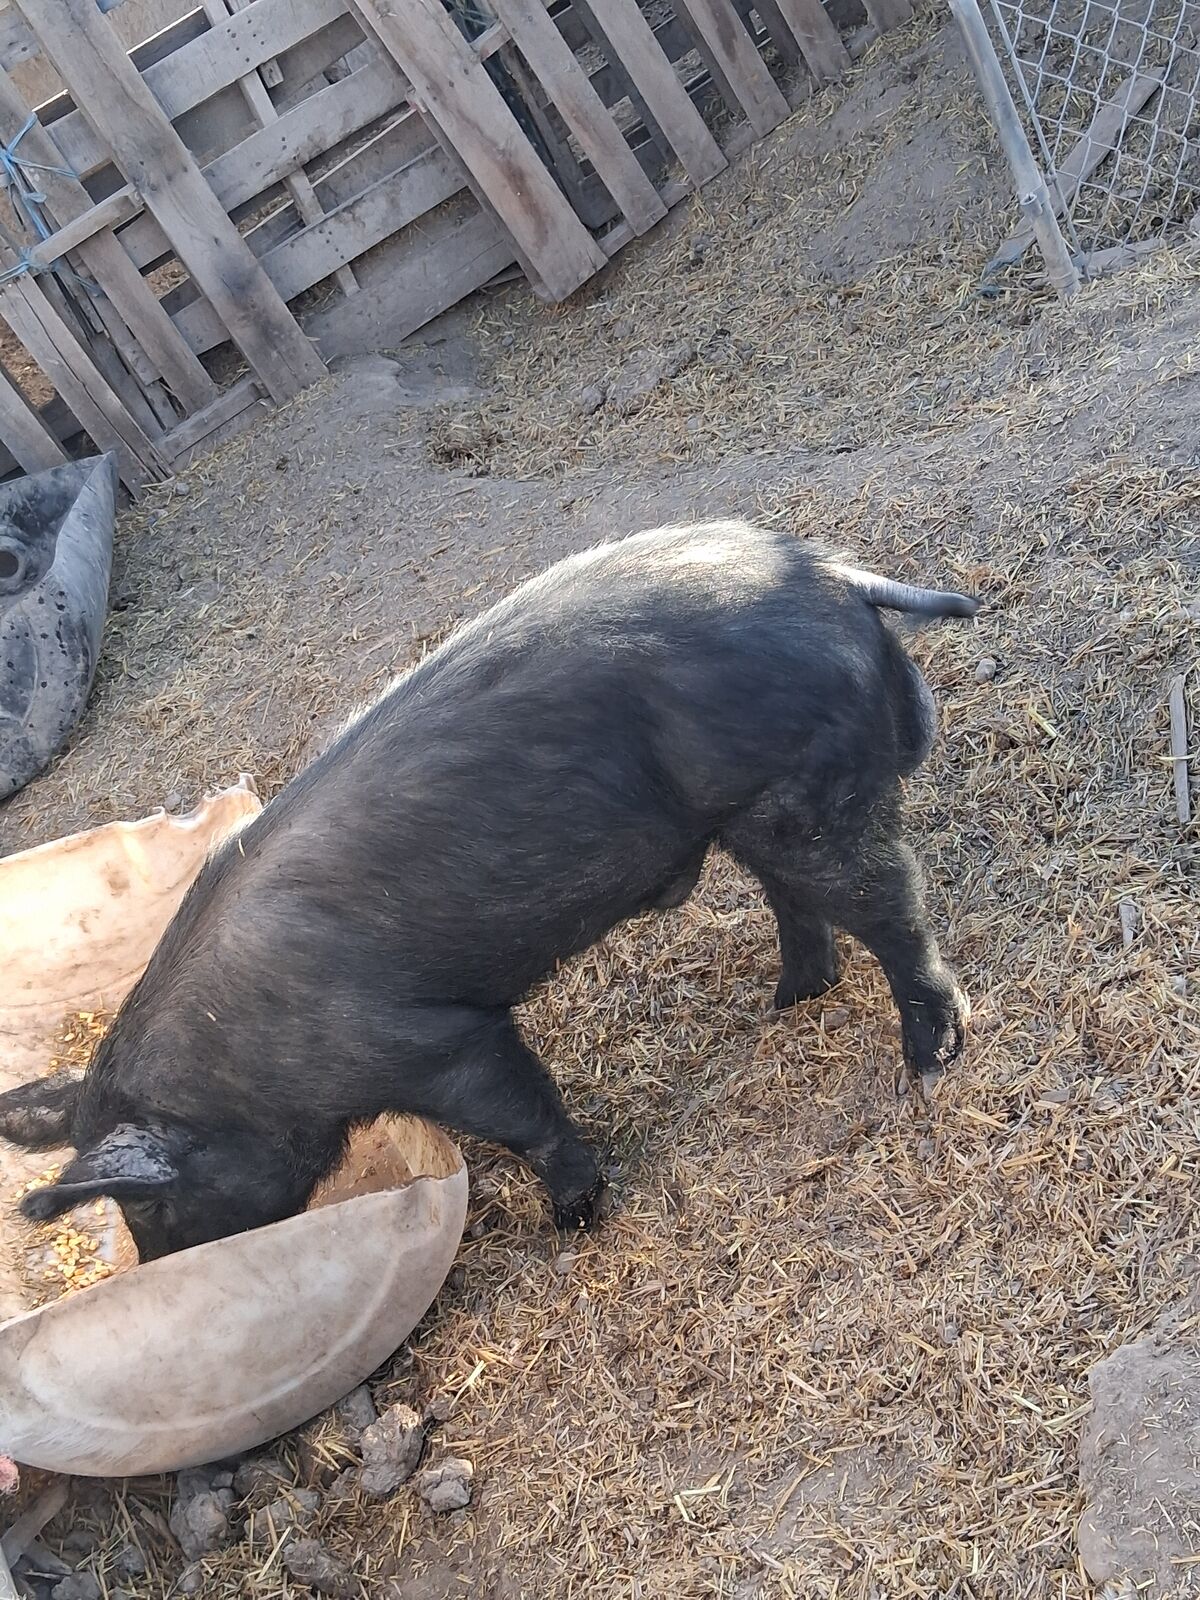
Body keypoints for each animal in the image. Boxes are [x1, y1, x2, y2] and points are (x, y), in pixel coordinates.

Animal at [0, 522, 978, 1261]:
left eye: (150, 1203)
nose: (162, 1262)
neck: (245, 1069)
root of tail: (828, 572)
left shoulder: (434, 1036)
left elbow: (521, 1109)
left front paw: (574, 1221)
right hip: (757, 809)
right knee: (798, 899)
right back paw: (784, 1002)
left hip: (812, 791)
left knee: (891, 904)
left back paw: (931, 1060)